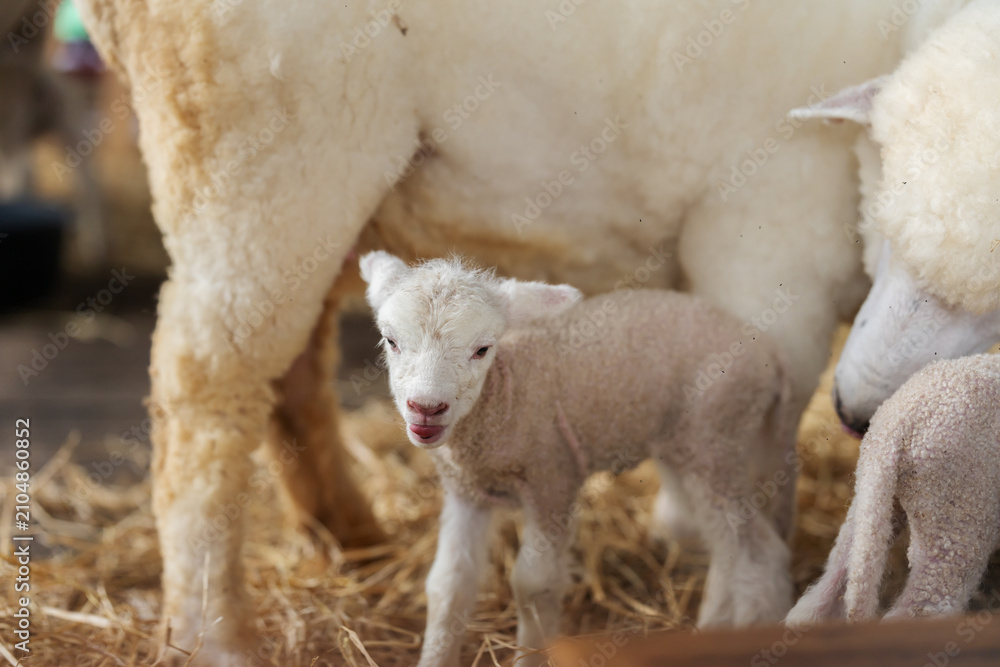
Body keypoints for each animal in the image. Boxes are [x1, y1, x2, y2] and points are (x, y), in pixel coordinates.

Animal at [360, 251, 799, 666]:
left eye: (482, 349)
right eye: (390, 341)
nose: (426, 408)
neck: (506, 396)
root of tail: (770, 353)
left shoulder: (551, 480)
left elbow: (532, 584)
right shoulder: (466, 493)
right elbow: (448, 585)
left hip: (716, 437)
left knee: (759, 554)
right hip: (693, 446)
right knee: (729, 549)